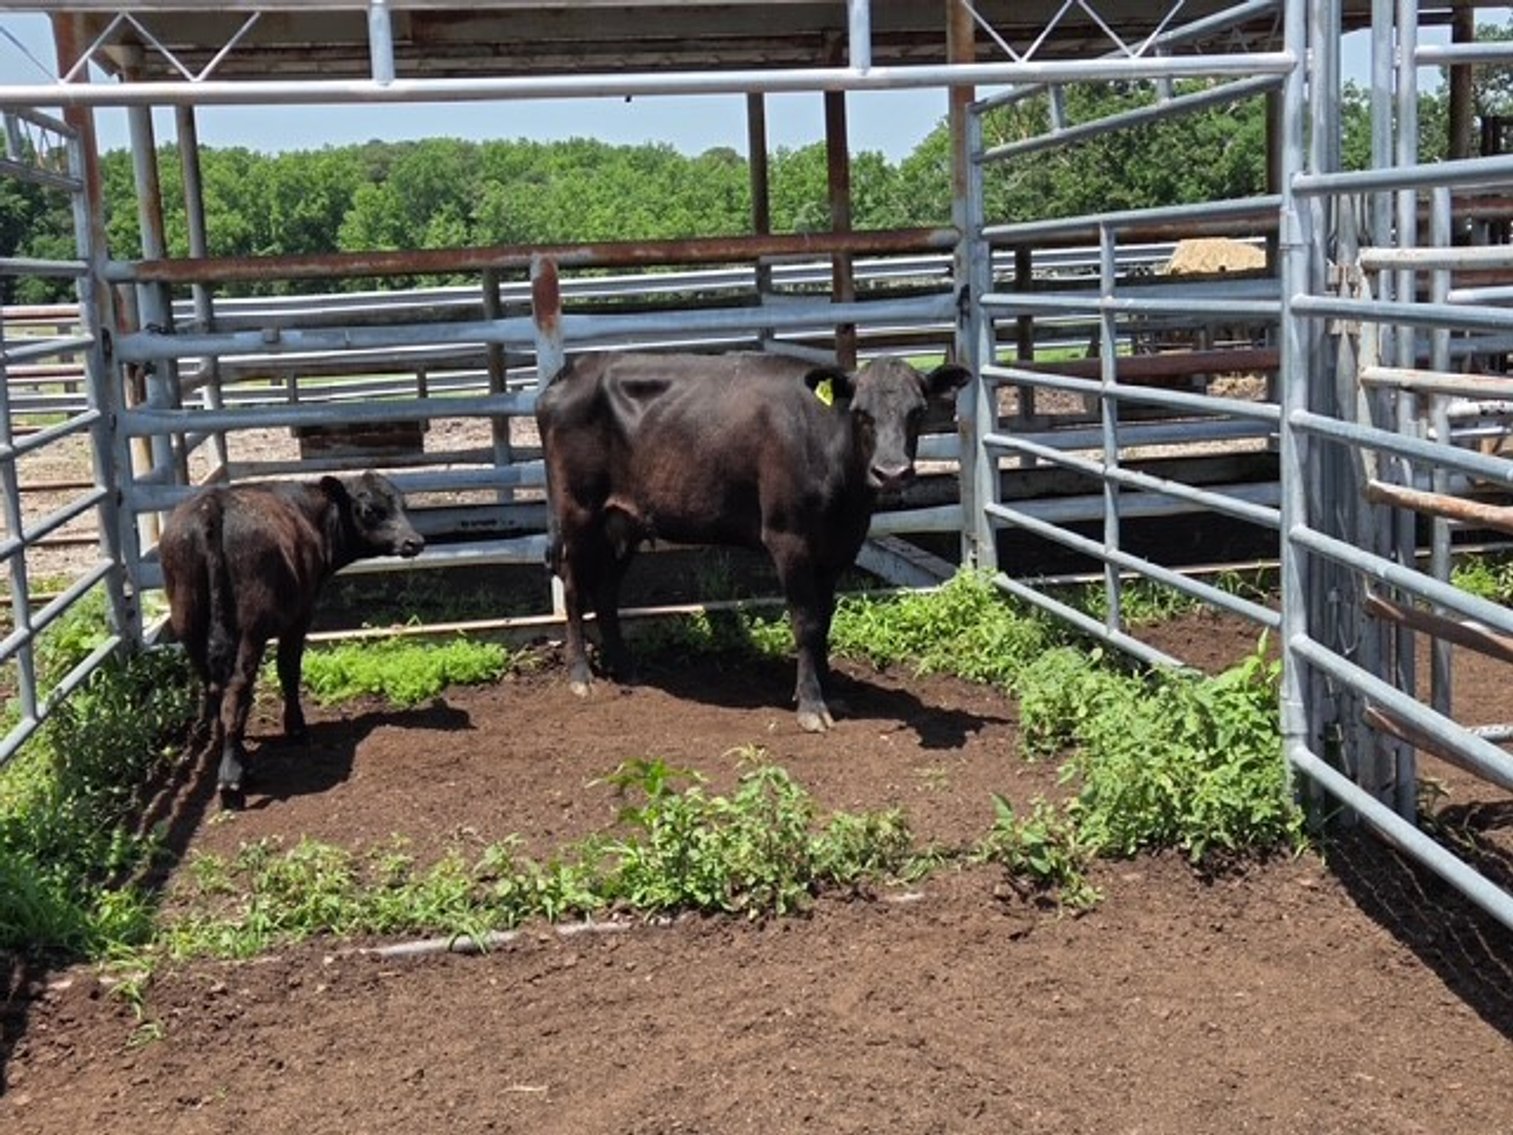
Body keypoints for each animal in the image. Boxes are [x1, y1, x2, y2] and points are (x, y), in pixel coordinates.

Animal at [159, 470, 425, 807]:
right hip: (251, 631)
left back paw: (236, 755)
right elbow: (289, 670)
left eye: (403, 505)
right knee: (237, 689)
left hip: (189, 624)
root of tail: (212, 506)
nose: (414, 541)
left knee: (215, 688)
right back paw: (232, 777)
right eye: (369, 510)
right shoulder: (300, 618)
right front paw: (296, 727)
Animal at [535, 351, 971, 732]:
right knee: (574, 588)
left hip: (625, 521)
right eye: (861, 412)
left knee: (607, 591)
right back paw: (581, 675)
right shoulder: (788, 539)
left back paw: (626, 668)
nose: (892, 472)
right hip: (577, 512)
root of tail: (572, 370)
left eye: (918, 410)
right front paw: (811, 704)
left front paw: (831, 691)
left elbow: (825, 620)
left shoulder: (839, 546)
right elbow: (806, 622)